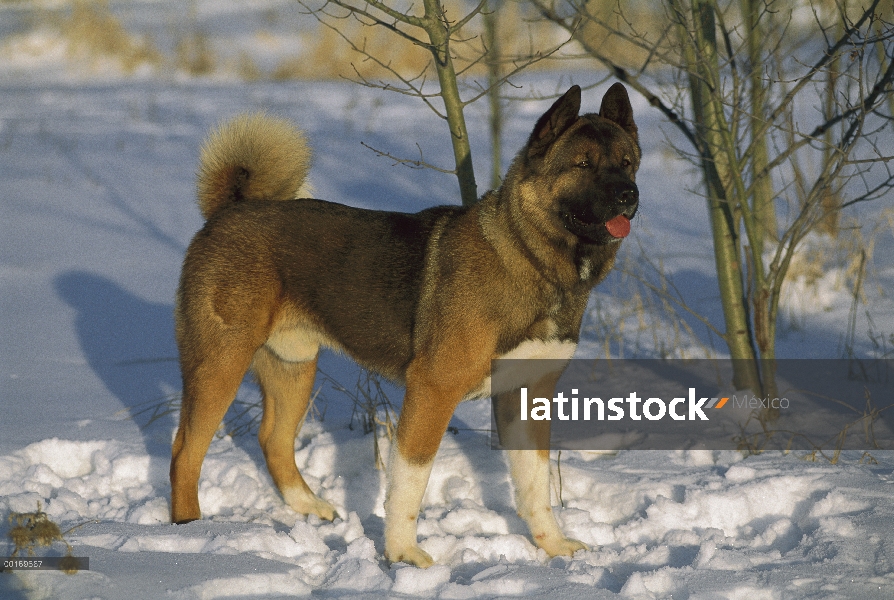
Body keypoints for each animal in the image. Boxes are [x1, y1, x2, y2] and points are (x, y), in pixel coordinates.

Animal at [172, 84, 640, 568]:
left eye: (627, 162)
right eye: (582, 164)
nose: (629, 194)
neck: (529, 259)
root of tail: (227, 212)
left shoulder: (527, 397)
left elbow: (535, 486)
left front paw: (553, 547)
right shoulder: (432, 391)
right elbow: (409, 486)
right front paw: (402, 554)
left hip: (292, 366)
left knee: (273, 441)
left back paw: (310, 507)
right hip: (220, 365)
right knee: (184, 452)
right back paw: (190, 531)